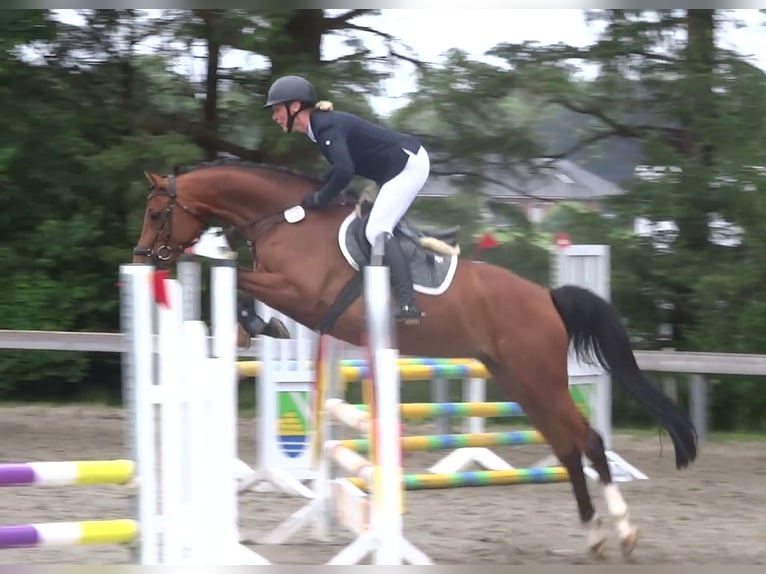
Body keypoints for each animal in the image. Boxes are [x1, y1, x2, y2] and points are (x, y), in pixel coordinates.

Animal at [132, 158, 697, 559]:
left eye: (157, 212)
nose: (142, 258)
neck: (287, 220)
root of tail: (548, 297)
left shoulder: (301, 294)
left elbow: (236, 277)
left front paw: (257, 324)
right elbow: (237, 280)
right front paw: (249, 329)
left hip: (541, 380)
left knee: (590, 442)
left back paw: (623, 532)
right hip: (520, 382)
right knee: (567, 447)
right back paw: (594, 535)